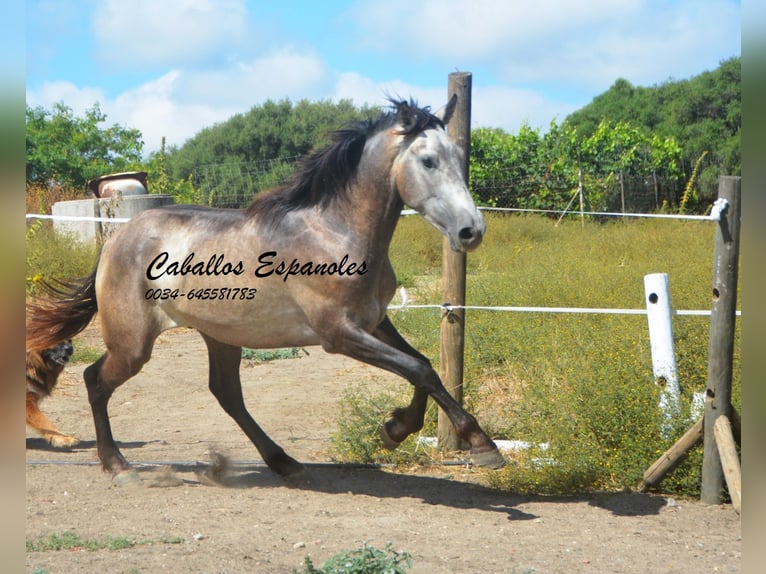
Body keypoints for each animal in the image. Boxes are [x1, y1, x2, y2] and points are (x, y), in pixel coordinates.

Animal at [26, 96, 506, 477]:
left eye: (457, 155)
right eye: (428, 161)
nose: (471, 231)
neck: (335, 233)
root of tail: (117, 238)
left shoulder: (374, 321)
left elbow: (422, 365)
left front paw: (396, 429)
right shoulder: (338, 334)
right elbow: (419, 370)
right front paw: (480, 445)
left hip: (220, 335)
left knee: (227, 395)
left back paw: (282, 461)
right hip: (133, 344)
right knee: (95, 380)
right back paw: (118, 466)